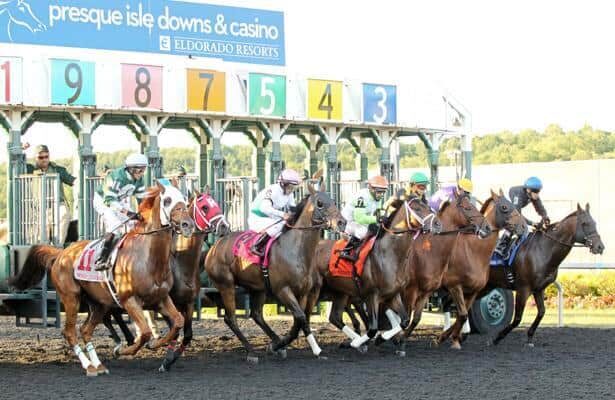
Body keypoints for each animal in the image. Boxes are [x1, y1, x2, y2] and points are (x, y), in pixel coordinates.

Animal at [10, 183, 196, 376]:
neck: (147, 257)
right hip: (71, 298)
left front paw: (156, 345)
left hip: (99, 303)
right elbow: (144, 332)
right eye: (167, 200)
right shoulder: (129, 300)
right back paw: (89, 366)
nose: (188, 225)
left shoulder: (160, 298)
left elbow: (178, 322)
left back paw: (99, 365)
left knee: (85, 330)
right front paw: (123, 350)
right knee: (70, 332)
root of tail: (61, 253)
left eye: (184, 199)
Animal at [203, 178, 344, 362]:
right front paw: (280, 344)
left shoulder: (303, 292)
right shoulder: (282, 290)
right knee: (230, 318)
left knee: (256, 314)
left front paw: (314, 350)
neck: (296, 250)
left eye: (333, 201)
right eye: (320, 203)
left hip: (258, 288)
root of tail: (216, 245)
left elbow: (302, 320)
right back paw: (252, 351)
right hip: (226, 284)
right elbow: (300, 317)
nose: (342, 222)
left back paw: (275, 342)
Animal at [312, 198, 442, 352]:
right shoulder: (371, 295)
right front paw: (364, 341)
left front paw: (381, 339)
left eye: (428, 206)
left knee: (335, 318)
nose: (438, 224)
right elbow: (372, 328)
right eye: (417, 209)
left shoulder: (393, 295)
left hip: (340, 292)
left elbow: (404, 321)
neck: (389, 254)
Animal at [436, 189, 528, 348]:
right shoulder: (454, 286)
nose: (523, 226)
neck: (474, 251)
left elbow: (462, 314)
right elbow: (462, 314)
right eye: (504, 207)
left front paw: (453, 337)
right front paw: (452, 338)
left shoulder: (473, 290)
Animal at [488, 205, 604, 346]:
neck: (543, 251)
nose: (600, 247)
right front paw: (497, 337)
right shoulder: (523, 288)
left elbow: (542, 312)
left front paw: (530, 336)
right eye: (585, 223)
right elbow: (517, 318)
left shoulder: (539, 289)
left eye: (594, 223)